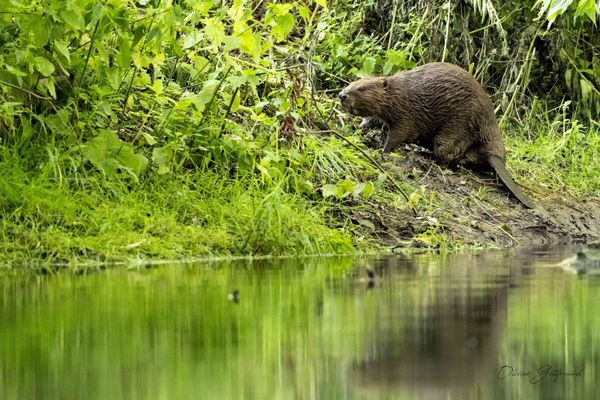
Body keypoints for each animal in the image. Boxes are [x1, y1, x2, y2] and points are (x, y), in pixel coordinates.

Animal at [338, 61, 536, 209]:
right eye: (352, 84)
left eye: (361, 89)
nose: (341, 95)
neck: (398, 93)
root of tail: (497, 156)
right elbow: (374, 120)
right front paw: (358, 127)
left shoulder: (406, 113)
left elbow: (398, 134)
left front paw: (383, 149)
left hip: (456, 129)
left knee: (448, 157)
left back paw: (423, 153)